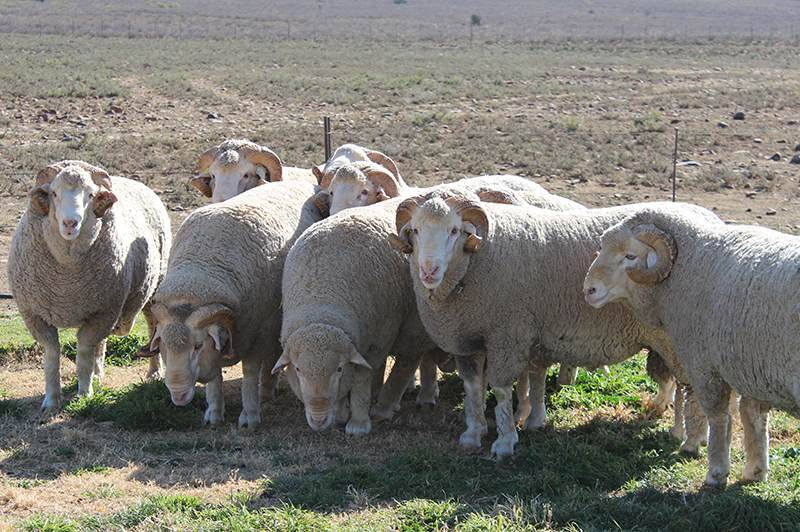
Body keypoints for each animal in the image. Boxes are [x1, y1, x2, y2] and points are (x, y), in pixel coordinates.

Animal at [7, 160, 170, 410]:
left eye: (91, 195)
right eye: (54, 193)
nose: (70, 223)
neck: (66, 280)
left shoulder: (104, 311)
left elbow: (84, 353)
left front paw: (84, 395)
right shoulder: (34, 315)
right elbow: (52, 355)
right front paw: (51, 400)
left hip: (153, 287)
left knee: (152, 325)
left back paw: (154, 371)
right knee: (100, 343)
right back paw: (98, 374)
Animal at [139, 181, 324, 426]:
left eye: (198, 345)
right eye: (163, 345)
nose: (178, 396)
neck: (201, 272)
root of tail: (302, 181)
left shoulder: (259, 332)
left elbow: (249, 372)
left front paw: (250, 415)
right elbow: (215, 377)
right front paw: (214, 412)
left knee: (273, 354)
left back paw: (266, 389)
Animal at [390, 194, 720, 458]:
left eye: (455, 230)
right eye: (415, 230)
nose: (429, 271)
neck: (476, 264)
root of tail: (708, 215)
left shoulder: (508, 334)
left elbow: (500, 390)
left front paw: (505, 441)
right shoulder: (466, 340)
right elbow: (473, 388)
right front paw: (473, 432)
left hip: (681, 337)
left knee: (692, 386)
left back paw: (692, 437)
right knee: (681, 384)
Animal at [580, 205, 800, 486]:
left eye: (629, 256)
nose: (589, 290)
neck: (693, 262)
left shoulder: (703, 364)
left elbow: (718, 416)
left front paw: (715, 470)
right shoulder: (750, 367)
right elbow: (754, 417)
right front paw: (756, 471)